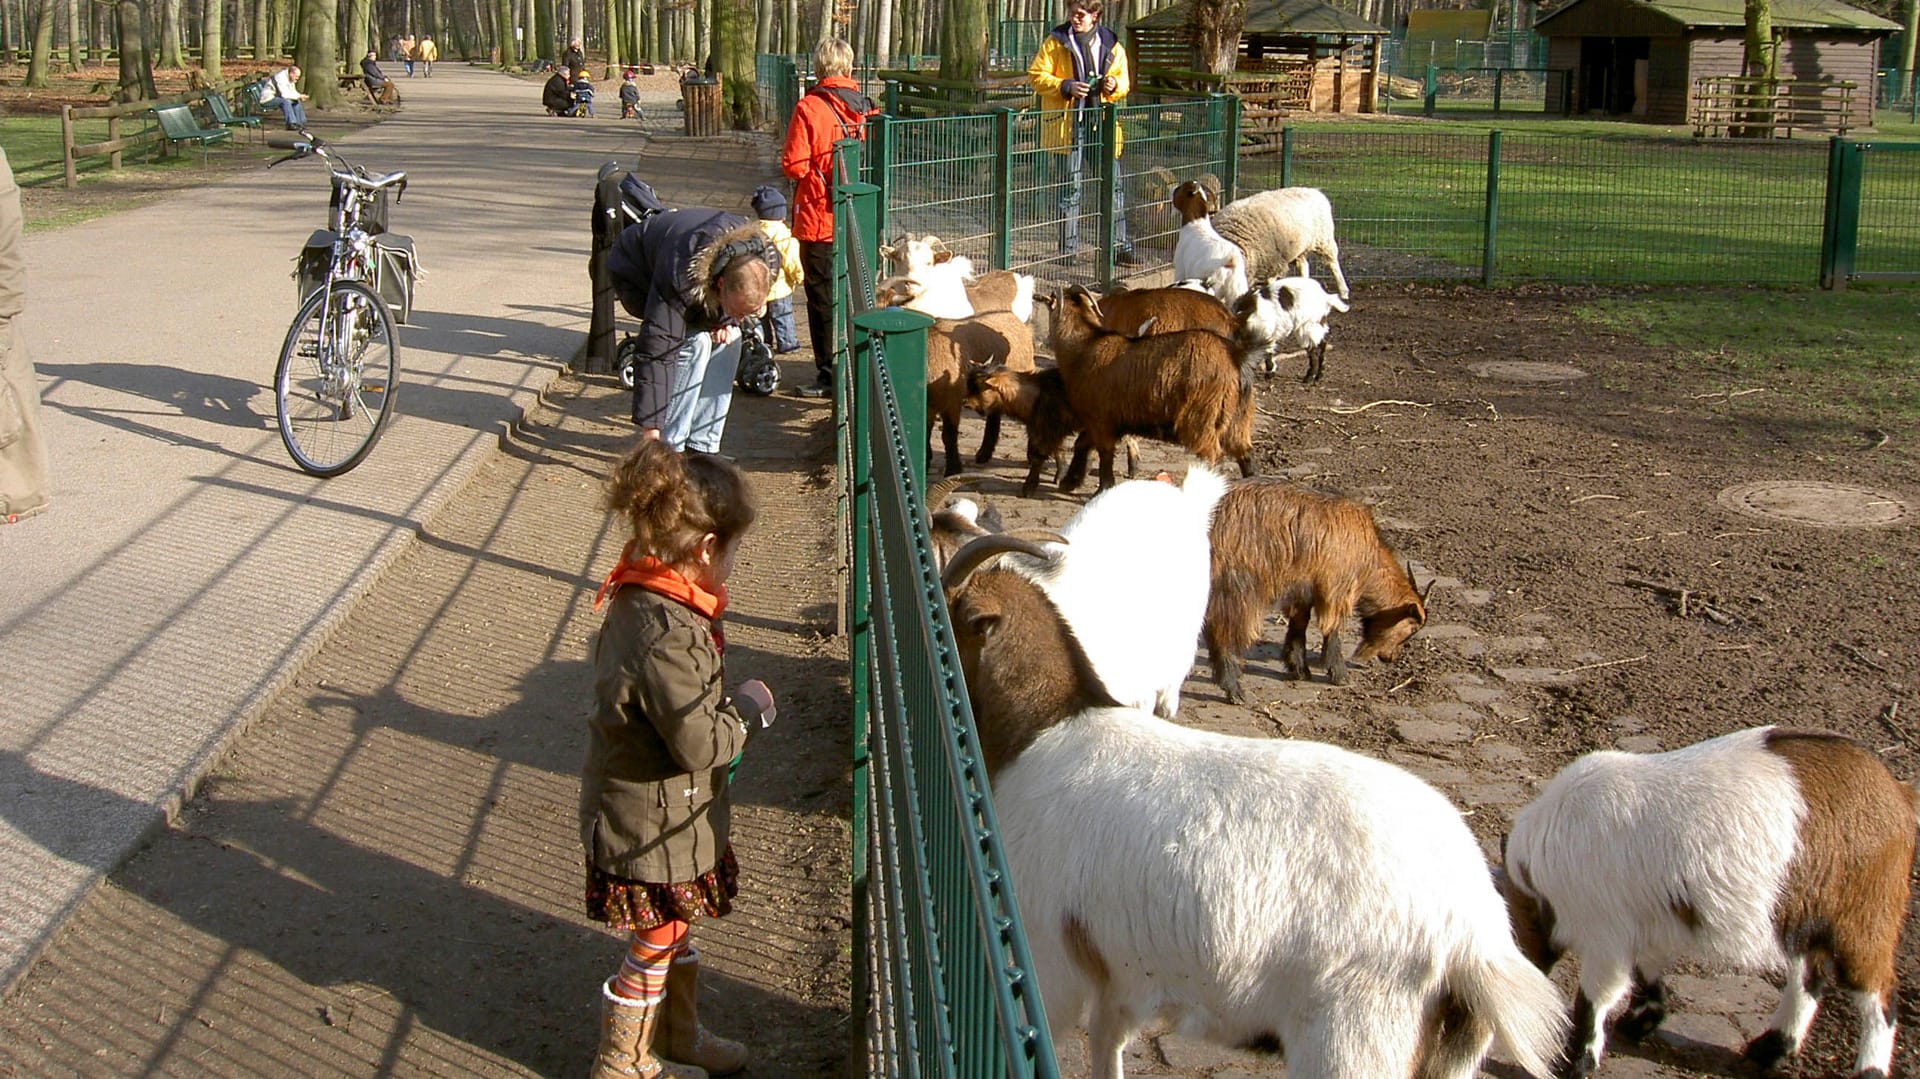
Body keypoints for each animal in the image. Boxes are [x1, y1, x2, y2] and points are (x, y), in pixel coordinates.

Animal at [936, 529, 1566, 1075]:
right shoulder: (1118, 975)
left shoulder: (1049, 954)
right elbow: (1107, 1047)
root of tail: (1473, 932)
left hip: (1354, 1041)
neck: (1047, 727)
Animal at [1036, 282, 1274, 491]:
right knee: (1245, 455)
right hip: (1238, 419)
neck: (1085, 346)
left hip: (1201, 419)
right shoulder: (1101, 421)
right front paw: (1070, 482)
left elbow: (1104, 455)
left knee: (1213, 456)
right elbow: (1082, 444)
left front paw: (1100, 488)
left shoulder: (1100, 419)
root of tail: (1237, 357)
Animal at [1198, 478, 1428, 698]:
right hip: (1235, 586)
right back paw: (1234, 688)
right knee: (1221, 630)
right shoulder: (1335, 587)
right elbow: (1331, 629)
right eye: (1411, 629)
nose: (1391, 657)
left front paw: (1299, 668)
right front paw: (1339, 674)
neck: (1369, 556)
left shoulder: (1302, 587)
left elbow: (1299, 623)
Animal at [1213, 184, 1351, 299]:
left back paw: (1344, 291)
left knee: (1333, 264)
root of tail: (1313, 190)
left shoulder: (1274, 259)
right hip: (1298, 247)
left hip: (1323, 239)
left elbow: (1271, 280)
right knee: (1304, 265)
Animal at [1497, 721, 1920, 1075]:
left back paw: (1868, 1069)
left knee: (1881, 994)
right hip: (1803, 912)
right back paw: (1770, 1049)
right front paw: (1643, 1018)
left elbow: (1594, 999)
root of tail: (1898, 794)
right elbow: (1646, 967)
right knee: (1809, 975)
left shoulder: (1606, 933)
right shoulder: (1647, 919)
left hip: (1865, 915)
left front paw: (1577, 1061)